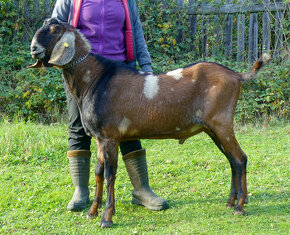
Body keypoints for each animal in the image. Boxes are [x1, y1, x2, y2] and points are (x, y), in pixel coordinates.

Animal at [28, 18, 270, 228]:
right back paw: (231, 201)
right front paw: (92, 211)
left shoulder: (110, 137)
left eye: (54, 30)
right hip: (212, 129)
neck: (95, 80)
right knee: (232, 160)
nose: (33, 49)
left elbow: (109, 174)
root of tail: (236, 76)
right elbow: (98, 172)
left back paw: (240, 206)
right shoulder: (98, 138)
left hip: (222, 124)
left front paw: (106, 218)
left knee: (240, 158)